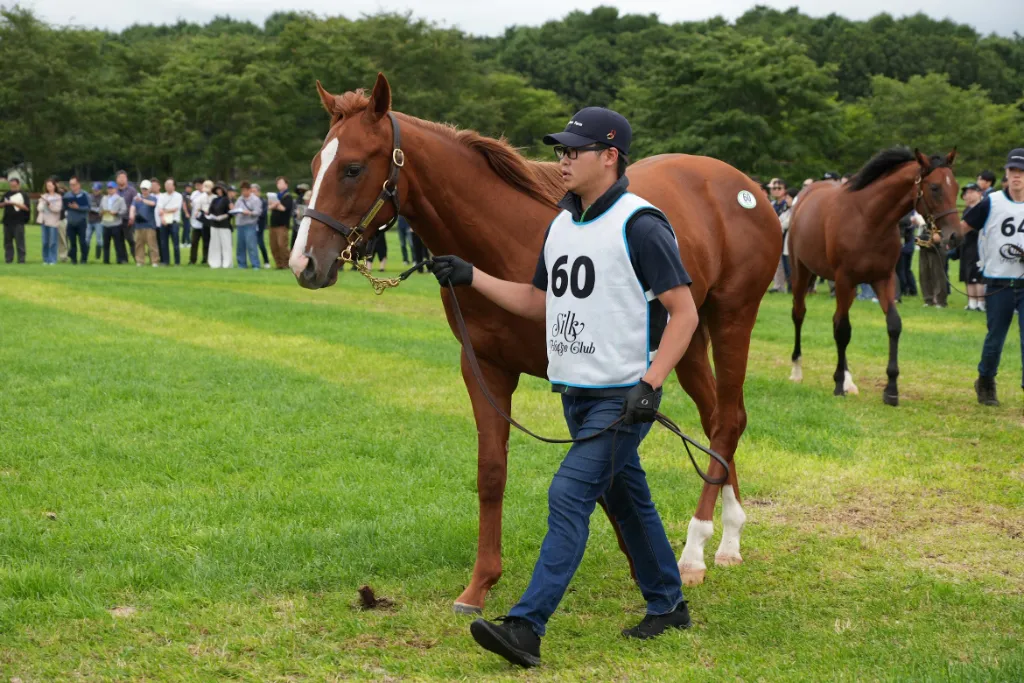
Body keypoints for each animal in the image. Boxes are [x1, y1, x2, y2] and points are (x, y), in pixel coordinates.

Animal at [289, 73, 781, 613]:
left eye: (353, 168)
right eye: (314, 166)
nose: (304, 263)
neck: (510, 241)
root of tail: (745, 188)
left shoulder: (585, 379)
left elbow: (603, 470)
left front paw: (642, 564)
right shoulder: (485, 368)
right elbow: (493, 472)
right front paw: (480, 584)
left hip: (733, 317)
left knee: (729, 419)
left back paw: (697, 548)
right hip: (686, 339)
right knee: (717, 420)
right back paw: (729, 537)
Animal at [787, 148, 960, 405]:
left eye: (956, 187)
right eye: (935, 187)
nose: (955, 236)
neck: (868, 219)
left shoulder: (883, 279)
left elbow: (893, 325)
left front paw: (891, 389)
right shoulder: (845, 280)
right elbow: (843, 331)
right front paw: (838, 384)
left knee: (836, 320)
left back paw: (849, 380)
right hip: (802, 272)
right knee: (800, 314)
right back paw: (797, 370)